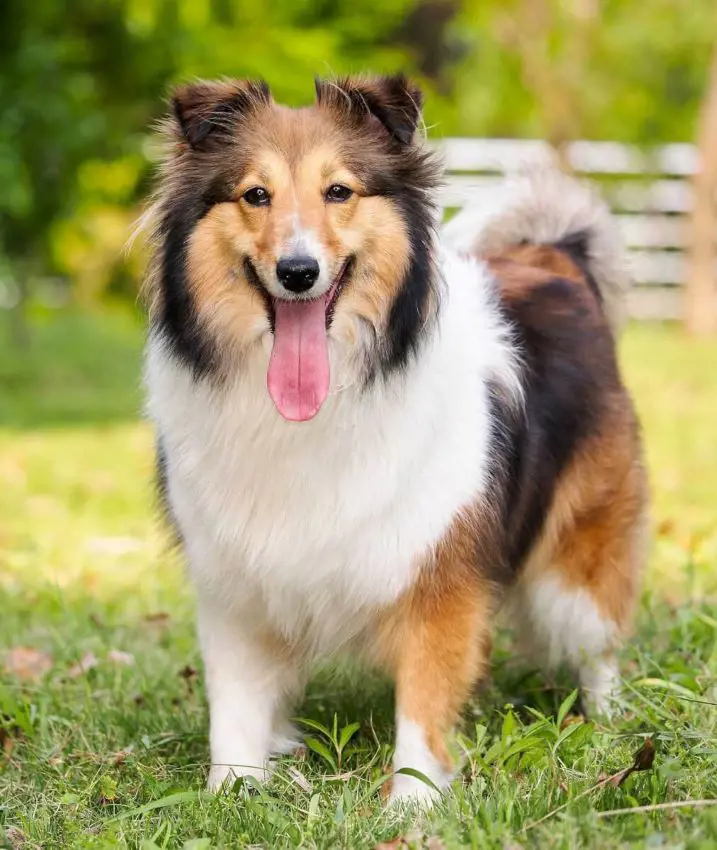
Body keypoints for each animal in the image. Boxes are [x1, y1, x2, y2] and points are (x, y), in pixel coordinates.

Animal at [143, 73, 648, 800]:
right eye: (255, 194)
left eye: (339, 191)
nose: (297, 272)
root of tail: (555, 254)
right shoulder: (233, 582)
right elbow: (235, 705)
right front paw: (231, 792)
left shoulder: (440, 570)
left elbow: (425, 697)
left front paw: (412, 802)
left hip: (578, 558)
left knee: (597, 639)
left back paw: (606, 723)